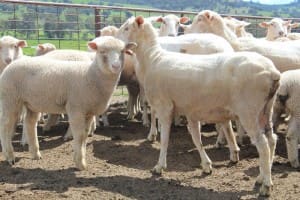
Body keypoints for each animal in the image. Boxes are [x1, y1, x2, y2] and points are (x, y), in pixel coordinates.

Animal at [0, 36, 136, 170]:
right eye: (102, 51)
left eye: (123, 51)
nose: (116, 66)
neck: (90, 75)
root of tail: (10, 65)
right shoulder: (76, 108)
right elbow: (79, 135)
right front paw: (80, 164)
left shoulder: (88, 111)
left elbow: (85, 135)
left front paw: (81, 160)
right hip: (10, 99)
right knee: (6, 126)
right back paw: (10, 156)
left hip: (32, 102)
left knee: (30, 123)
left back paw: (35, 154)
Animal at [118, 16, 282, 197]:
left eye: (126, 28)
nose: (116, 42)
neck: (152, 59)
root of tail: (273, 72)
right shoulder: (191, 112)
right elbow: (197, 139)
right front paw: (206, 165)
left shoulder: (164, 106)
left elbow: (165, 139)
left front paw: (159, 167)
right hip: (266, 110)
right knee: (272, 140)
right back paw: (262, 177)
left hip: (249, 111)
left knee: (263, 145)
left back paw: (266, 186)